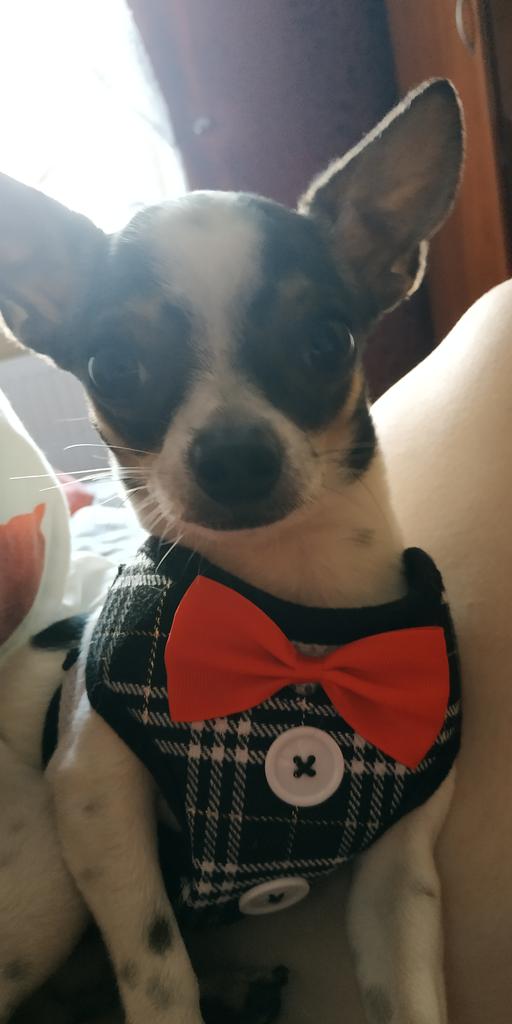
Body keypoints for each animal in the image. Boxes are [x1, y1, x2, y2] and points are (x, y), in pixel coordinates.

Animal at [0, 78, 463, 1024]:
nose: (236, 456)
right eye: (112, 365)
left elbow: (408, 992)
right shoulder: (94, 805)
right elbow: (156, 974)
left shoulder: (399, 871)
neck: (288, 609)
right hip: (42, 884)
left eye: (327, 341)